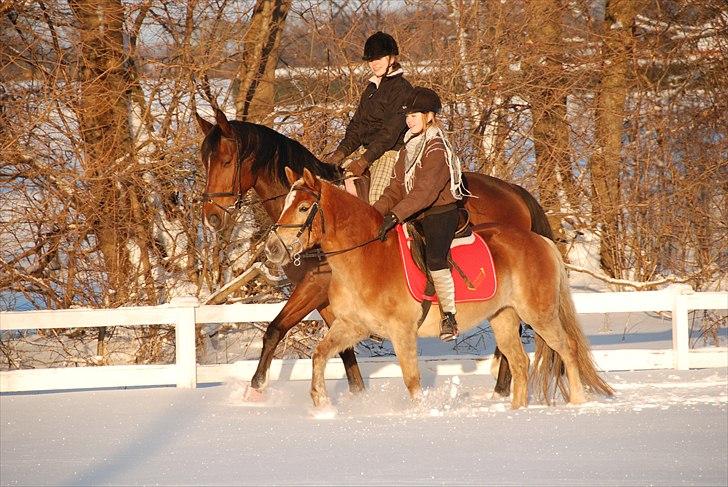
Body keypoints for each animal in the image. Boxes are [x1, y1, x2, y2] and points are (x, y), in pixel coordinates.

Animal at [193, 108, 552, 398]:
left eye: (226, 160)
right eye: (204, 161)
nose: (211, 216)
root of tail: (515, 191)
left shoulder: (314, 287)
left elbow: (275, 329)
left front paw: (255, 389)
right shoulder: (331, 298)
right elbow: (340, 348)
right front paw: (357, 393)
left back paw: (501, 390)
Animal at [264, 170, 612, 410]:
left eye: (304, 207)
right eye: (284, 204)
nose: (272, 248)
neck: (368, 256)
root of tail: (539, 241)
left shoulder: (402, 330)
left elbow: (411, 379)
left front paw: (420, 413)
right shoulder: (352, 325)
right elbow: (320, 354)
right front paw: (321, 403)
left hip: (539, 314)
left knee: (566, 349)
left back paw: (577, 402)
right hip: (504, 317)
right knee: (519, 362)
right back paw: (515, 409)